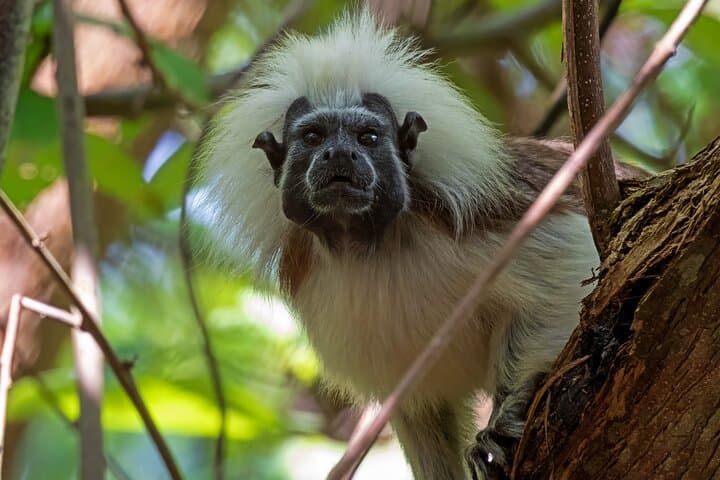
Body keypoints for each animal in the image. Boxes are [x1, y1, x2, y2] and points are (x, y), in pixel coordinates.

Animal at [192, 10, 605, 479]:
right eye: (313, 137)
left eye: (368, 137)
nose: (339, 155)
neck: (368, 244)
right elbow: (420, 407)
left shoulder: (475, 213)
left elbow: (570, 255)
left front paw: (507, 414)